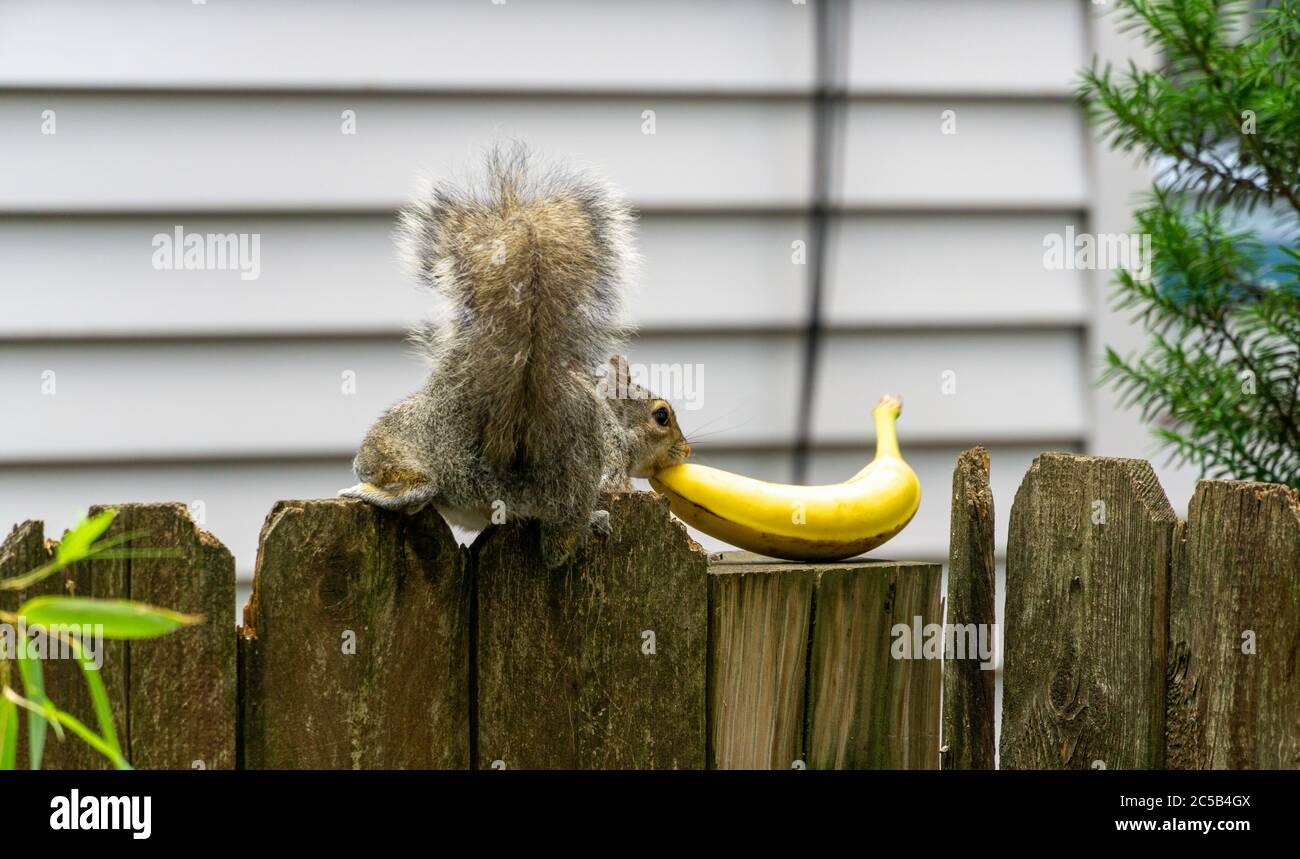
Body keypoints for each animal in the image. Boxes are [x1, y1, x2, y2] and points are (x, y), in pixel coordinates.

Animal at [340, 144, 696, 566]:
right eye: (662, 417)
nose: (686, 450)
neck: (615, 422)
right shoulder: (611, 465)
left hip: (401, 441)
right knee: (556, 545)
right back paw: (591, 523)